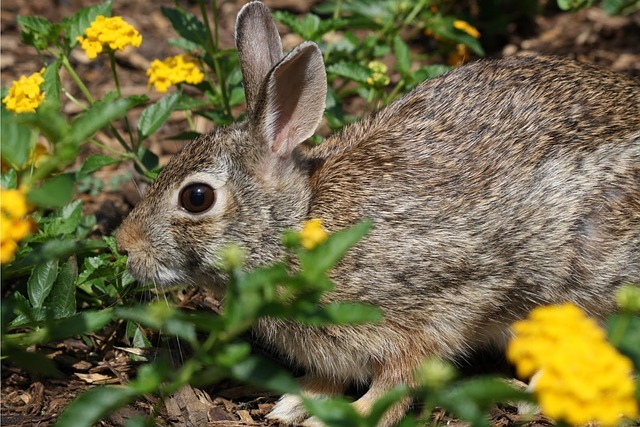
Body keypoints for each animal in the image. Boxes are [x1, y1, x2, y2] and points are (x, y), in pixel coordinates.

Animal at [115, 1, 640, 426]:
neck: (300, 221)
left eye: (196, 198)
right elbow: (327, 378)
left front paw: (345, 416)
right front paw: (293, 404)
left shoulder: (434, 308)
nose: (124, 246)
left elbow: (397, 382)